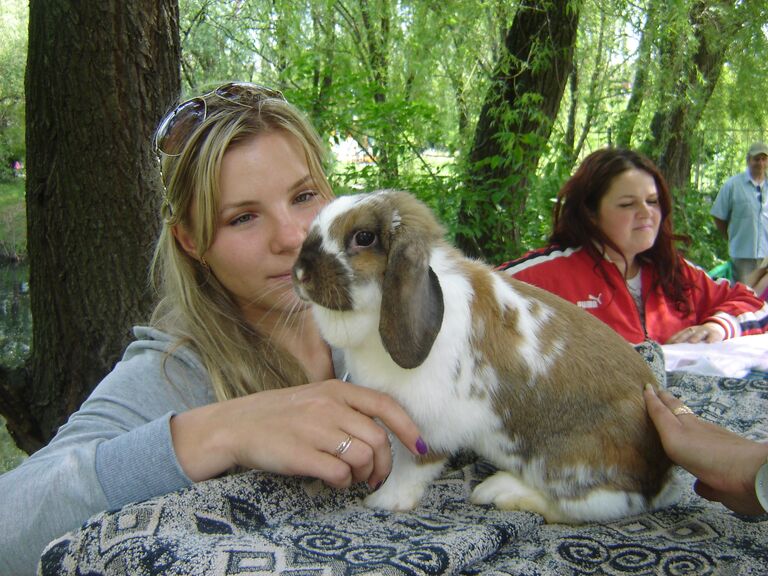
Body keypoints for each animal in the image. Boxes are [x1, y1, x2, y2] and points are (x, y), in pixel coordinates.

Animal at [292, 191, 676, 524]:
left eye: (364, 237)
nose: (299, 273)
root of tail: (661, 475)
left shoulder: (427, 427)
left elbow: (410, 468)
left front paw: (382, 502)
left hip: (567, 466)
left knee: (585, 507)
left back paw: (498, 492)